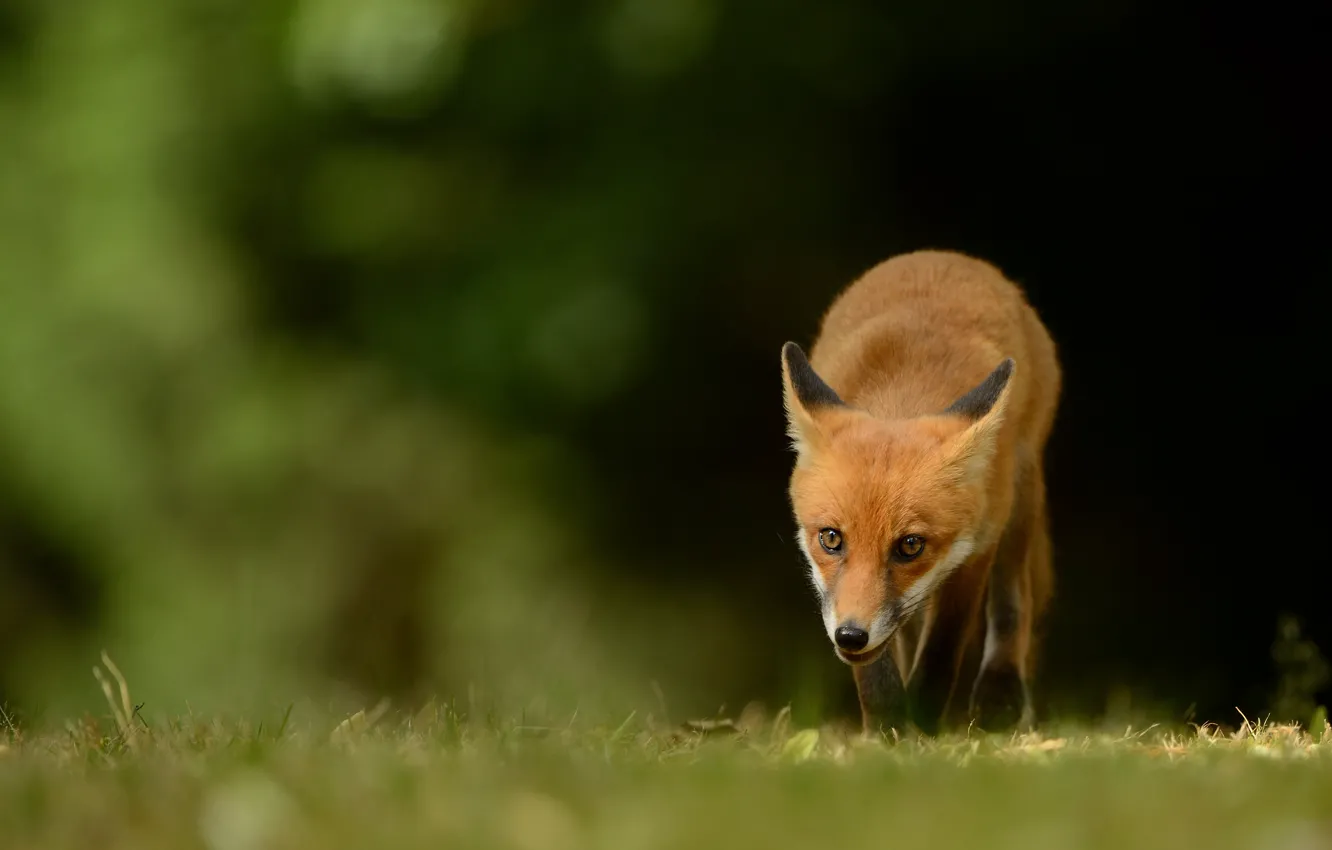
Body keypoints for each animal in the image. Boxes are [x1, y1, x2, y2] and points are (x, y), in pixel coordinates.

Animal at [780, 249, 1060, 736]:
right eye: (831, 538)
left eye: (910, 545)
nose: (850, 635)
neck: (904, 392)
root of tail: (946, 255)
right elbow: (877, 668)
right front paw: (887, 726)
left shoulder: (977, 546)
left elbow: (943, 648)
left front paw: (924, 720)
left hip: (1021, 498)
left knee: (1013, 600)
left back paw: (1000, 692)